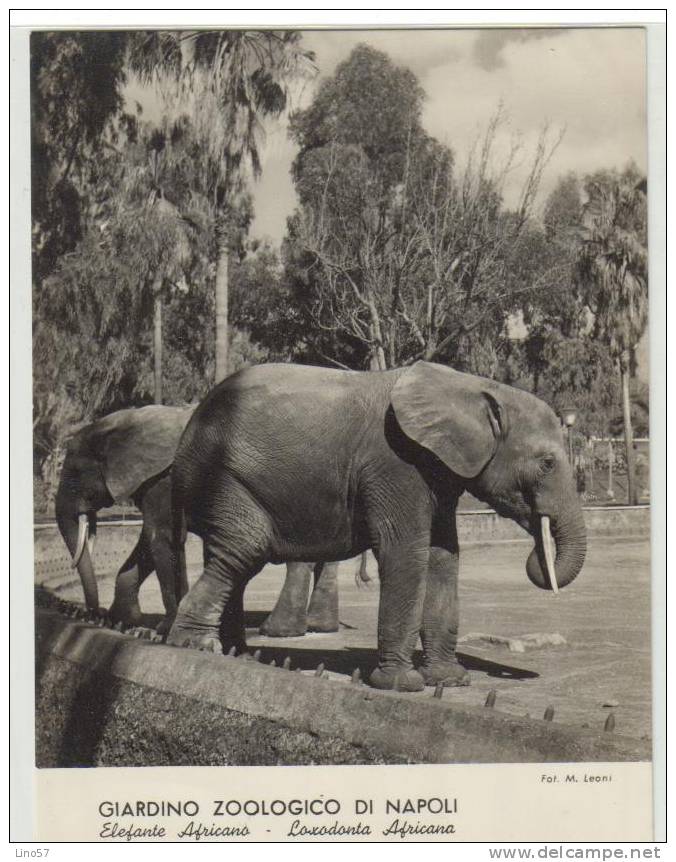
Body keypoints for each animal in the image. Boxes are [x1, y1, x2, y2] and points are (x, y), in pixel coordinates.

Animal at [166, 361, 587, 692]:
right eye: (547, 463)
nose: (537, 557)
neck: (471, 386)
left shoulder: (440, 474)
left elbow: (443, 558)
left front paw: (450, 681)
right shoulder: (396, 463)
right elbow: (406, 553)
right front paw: (402, 685)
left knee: (230, 556)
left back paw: (237, 655)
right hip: (222, 476)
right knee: (245, 548)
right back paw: (195, 647)